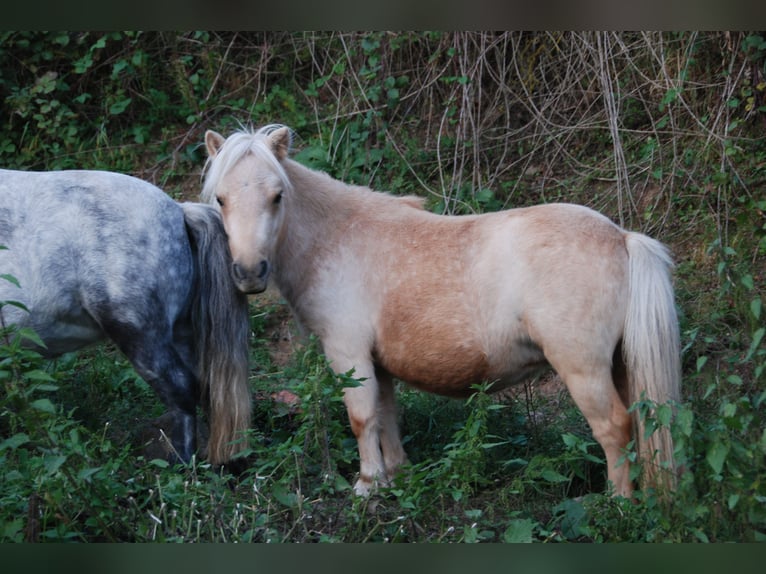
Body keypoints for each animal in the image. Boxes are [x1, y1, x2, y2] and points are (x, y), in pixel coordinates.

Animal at [0, 168, 252, 466]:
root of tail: (178, 211)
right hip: (178, 333)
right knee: (206, 387)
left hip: (139, 334)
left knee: (182, 388)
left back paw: (180, 460)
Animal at [201, 124, 681, 498]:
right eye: (221, 199)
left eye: (277, 196)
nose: (249, 272)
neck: (337, 237)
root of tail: (620, 237)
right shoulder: (379, 362)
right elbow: (386, 417)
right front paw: (396, 476)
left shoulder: (348, 353)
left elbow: (361, 418)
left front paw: (367, 484)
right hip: (619, 365)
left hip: (583, 369)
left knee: (614, 429)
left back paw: (618, 503)